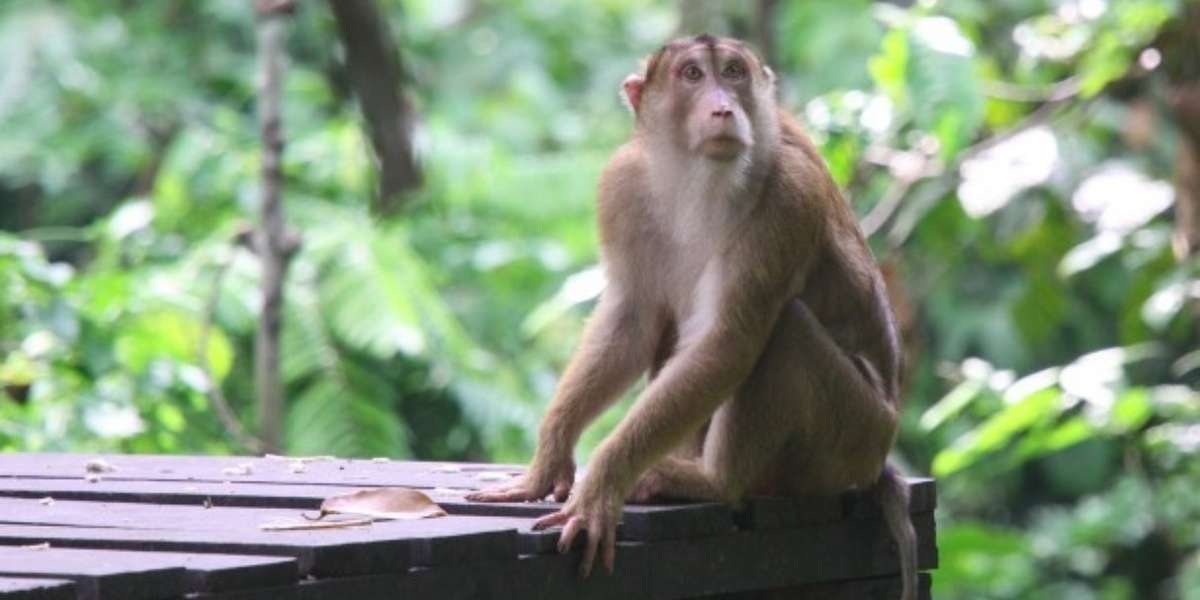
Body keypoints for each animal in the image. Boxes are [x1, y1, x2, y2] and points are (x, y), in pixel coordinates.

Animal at [466, 35, 917, 600]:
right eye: (692, 75)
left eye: (733, 72)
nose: (723, 107)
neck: (699, 179)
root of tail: (883, 444)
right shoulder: (622, 185)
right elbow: (631, 322)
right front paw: (548, 460)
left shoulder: (787, 199)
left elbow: (727, 341)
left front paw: (603, 485)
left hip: (855, 435)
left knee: (786, 330)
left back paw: (713, 481)